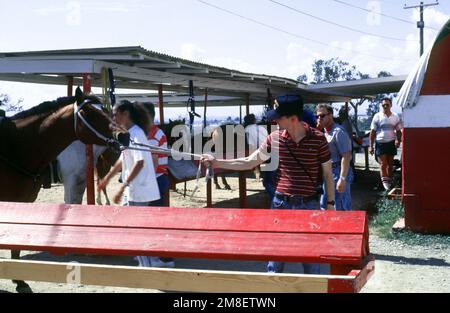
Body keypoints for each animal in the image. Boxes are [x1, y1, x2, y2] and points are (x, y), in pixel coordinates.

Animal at [0, 86, 127, 290]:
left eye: (107, 112)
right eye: (90, 113)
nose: (124, 135)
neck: (14, 148)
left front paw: (19, 280)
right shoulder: (71, 180)